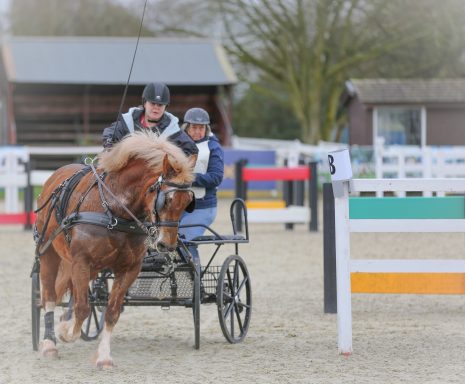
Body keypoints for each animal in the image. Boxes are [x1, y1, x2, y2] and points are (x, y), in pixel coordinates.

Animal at [34, 133, 194, 368]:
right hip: (48, 253)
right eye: (167, 200)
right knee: (49, 295)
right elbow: (82, 307)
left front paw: (103, 357)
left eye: (189, 202)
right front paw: (65, 332)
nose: (167, 245)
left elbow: (111, 311)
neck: (115, 211)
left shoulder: (129, 269)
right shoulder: (81, 262)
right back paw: (49, 344)